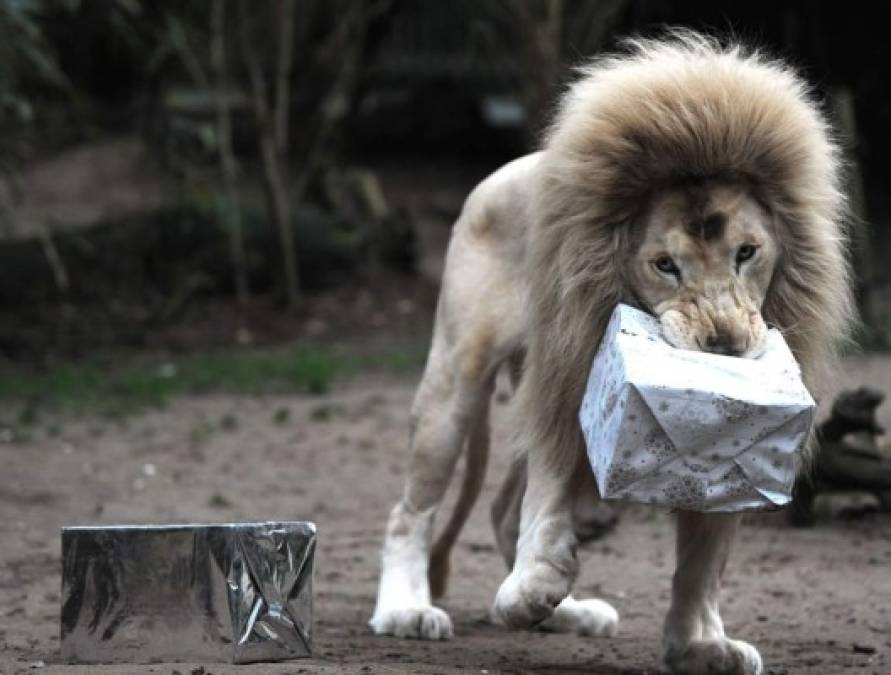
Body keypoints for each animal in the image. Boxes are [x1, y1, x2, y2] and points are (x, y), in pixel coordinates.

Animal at [372, 33, 856, 675]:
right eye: (665, 265)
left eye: (747, 252)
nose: (725, 347)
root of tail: (499, 174)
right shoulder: (567, 368)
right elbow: (548, 492)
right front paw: (533, 586)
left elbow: (706, 557)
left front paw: (697, 644)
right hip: (455, 383)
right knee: (411, 511)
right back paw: (408, 610)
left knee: (501, 510)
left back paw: (568, 613)